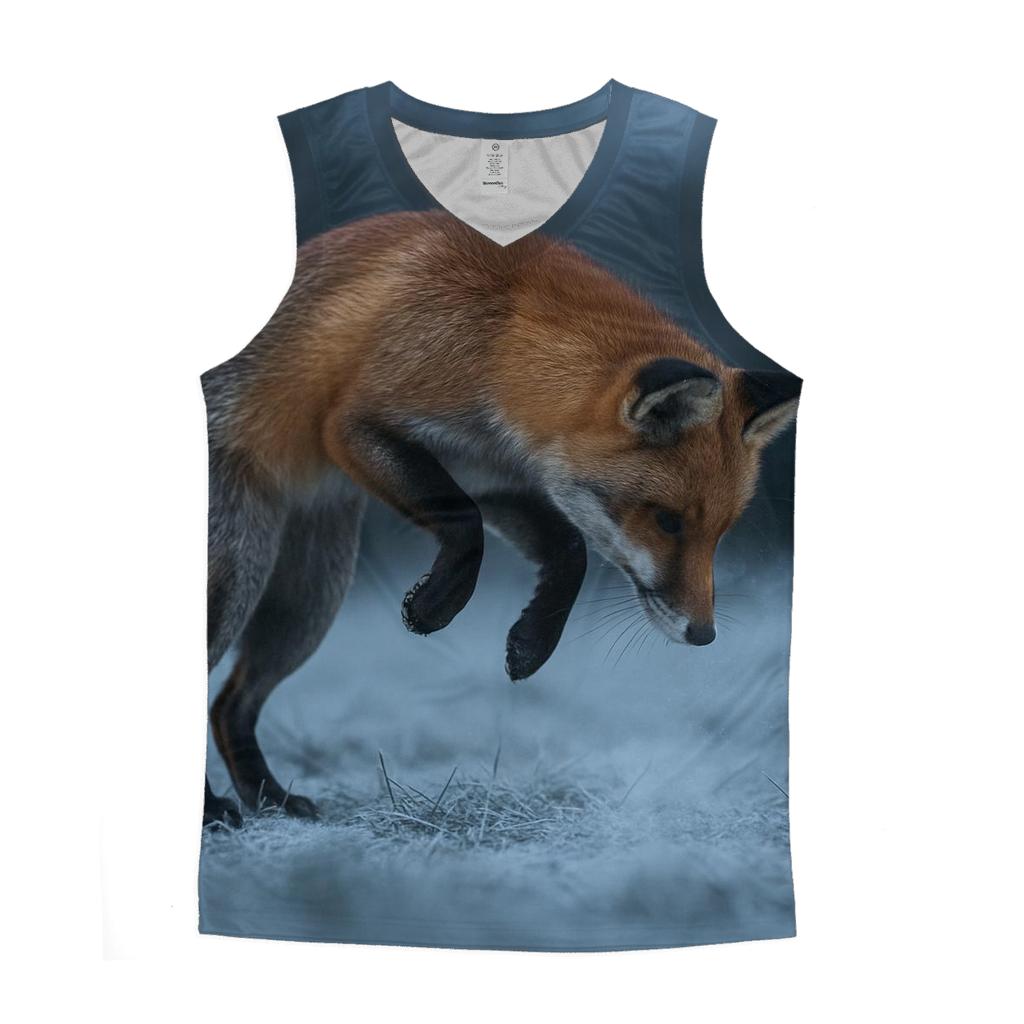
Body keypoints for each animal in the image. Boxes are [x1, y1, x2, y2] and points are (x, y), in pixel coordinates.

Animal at [201, 209, 800, 826]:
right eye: (669, 522)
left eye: (719, 532)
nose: (704, 634)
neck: (497, 342)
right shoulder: (355, 427)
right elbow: (465, 525)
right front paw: (435, 607)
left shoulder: (491, 473)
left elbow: (570, 553)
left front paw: (531, 645)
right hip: (239, 579)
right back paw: (212, 810)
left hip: (309, 602)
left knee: (230, 705)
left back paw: (268, 796)